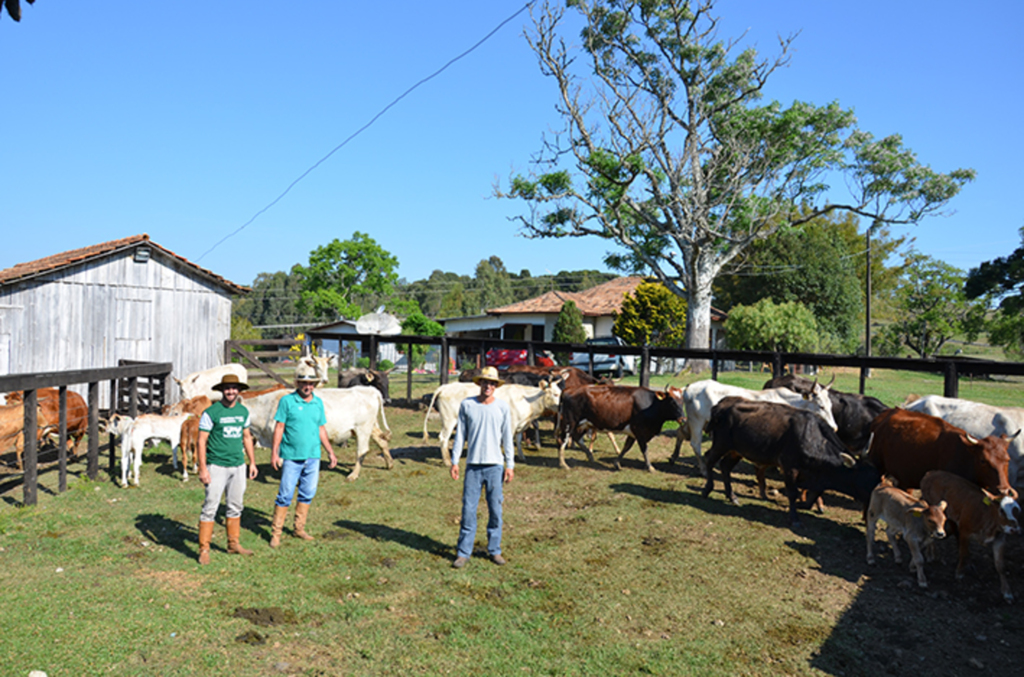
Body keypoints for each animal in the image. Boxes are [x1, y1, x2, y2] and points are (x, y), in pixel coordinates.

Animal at [246, 385, 391, 481]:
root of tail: (369, 389)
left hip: (363, 428)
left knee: (362, 451)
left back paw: (353, 475)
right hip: (370, 427)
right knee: (382, 441)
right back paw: (389, 464)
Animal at [421, 381, 561, 464]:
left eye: (560, 393)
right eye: (555, 394)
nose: (562, 406)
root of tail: (446, 386)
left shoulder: (520, 425)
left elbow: (518, 440)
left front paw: (521, 457)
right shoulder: (510, 425)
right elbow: (508, 442)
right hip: (449, 420)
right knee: (443, 438)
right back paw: (447, 462)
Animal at [675, 376, 835, 473]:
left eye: (830, 405)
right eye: (821, 406)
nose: (834, 427)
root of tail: (688, 388)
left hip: (697, 421)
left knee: (681, 432)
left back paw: (674, 457)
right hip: (697, 421)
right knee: (695, 444)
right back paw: (703, 469)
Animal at [917, 469, 1019, 602]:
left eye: (1017, 510)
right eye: (1001, 510)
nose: (1015, 529)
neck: (986, 516)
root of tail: (931, 473)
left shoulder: (1000, 539)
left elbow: (1000, 566)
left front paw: (1007, 592)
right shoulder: (964, 531)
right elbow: (963, 553)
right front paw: (959, 573)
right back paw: (931, 554)